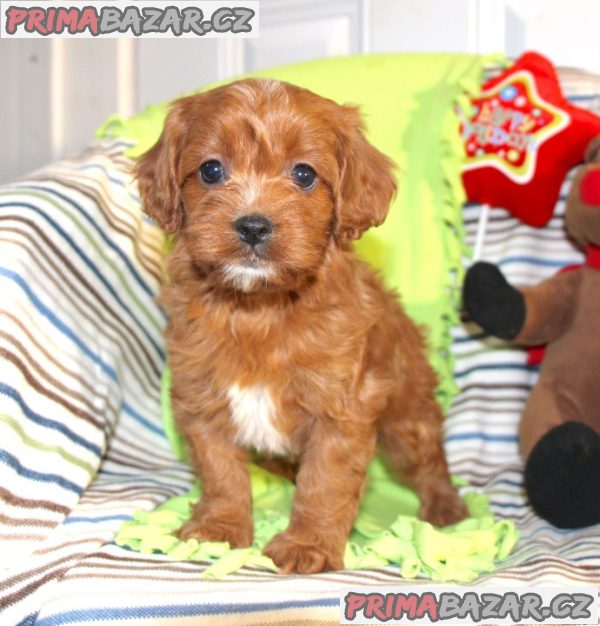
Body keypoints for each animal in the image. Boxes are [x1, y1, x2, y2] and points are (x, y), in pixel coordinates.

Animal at [136, 77, 468, 572]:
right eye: (211, 170)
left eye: (304, 175)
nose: (253, 226)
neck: (259, 307)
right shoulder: (201, 396)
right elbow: (220, 469)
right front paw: (220, 527)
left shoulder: (341, 407)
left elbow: (325, 480)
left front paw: (307, 544)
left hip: (406, 416)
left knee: (429, 459)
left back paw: (446, 509)